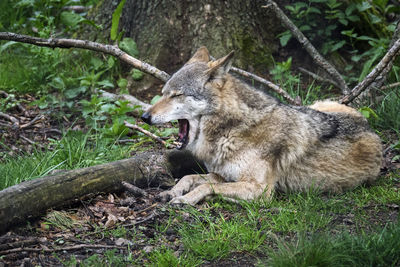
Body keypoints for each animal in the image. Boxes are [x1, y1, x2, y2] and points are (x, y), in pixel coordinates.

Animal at [141, 47, 382, 205]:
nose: (144, 117)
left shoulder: (260, 190)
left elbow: (207, 186)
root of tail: (370, 127)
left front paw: (185, 199)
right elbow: (189, 177)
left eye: (177, 95)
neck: (231, 130)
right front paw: (173, 192)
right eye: (163, 93)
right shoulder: (223, 175)